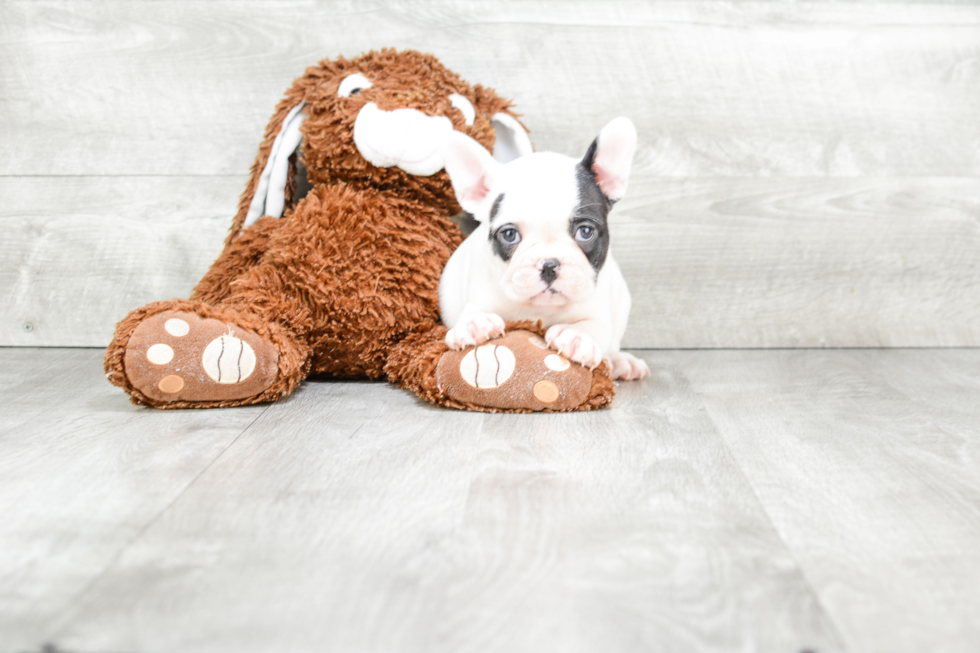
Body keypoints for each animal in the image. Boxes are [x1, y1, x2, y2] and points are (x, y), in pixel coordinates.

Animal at [440, 118, 648, 382]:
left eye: (585, 232)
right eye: (509, 234)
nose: (549, 264)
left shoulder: (598, 310)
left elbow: (594, 325)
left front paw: (577, 336)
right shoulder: (479, 292)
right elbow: (472, 311)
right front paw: (474, 324)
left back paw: (621, 361)